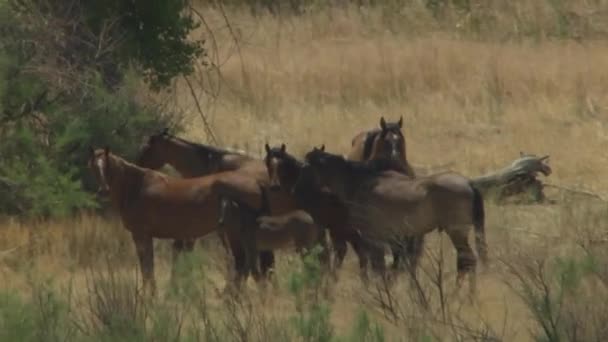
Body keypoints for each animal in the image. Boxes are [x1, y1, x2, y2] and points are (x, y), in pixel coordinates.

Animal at [87, 146, 266, 292]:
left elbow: (147, 268)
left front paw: (149, 296)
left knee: (243, 265)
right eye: (94, 166)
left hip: (234, 235)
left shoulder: (141, 235)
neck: (136, 187)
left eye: (107, 165)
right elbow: (149, 267)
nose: (103, 190)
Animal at [304, 146, 490, 296]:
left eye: (307, 165)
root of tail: (468, 183)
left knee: (468, 261)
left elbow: (378, 267)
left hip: (457, 233)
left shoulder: (373, 239)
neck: (360, 182)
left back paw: (461, 296)